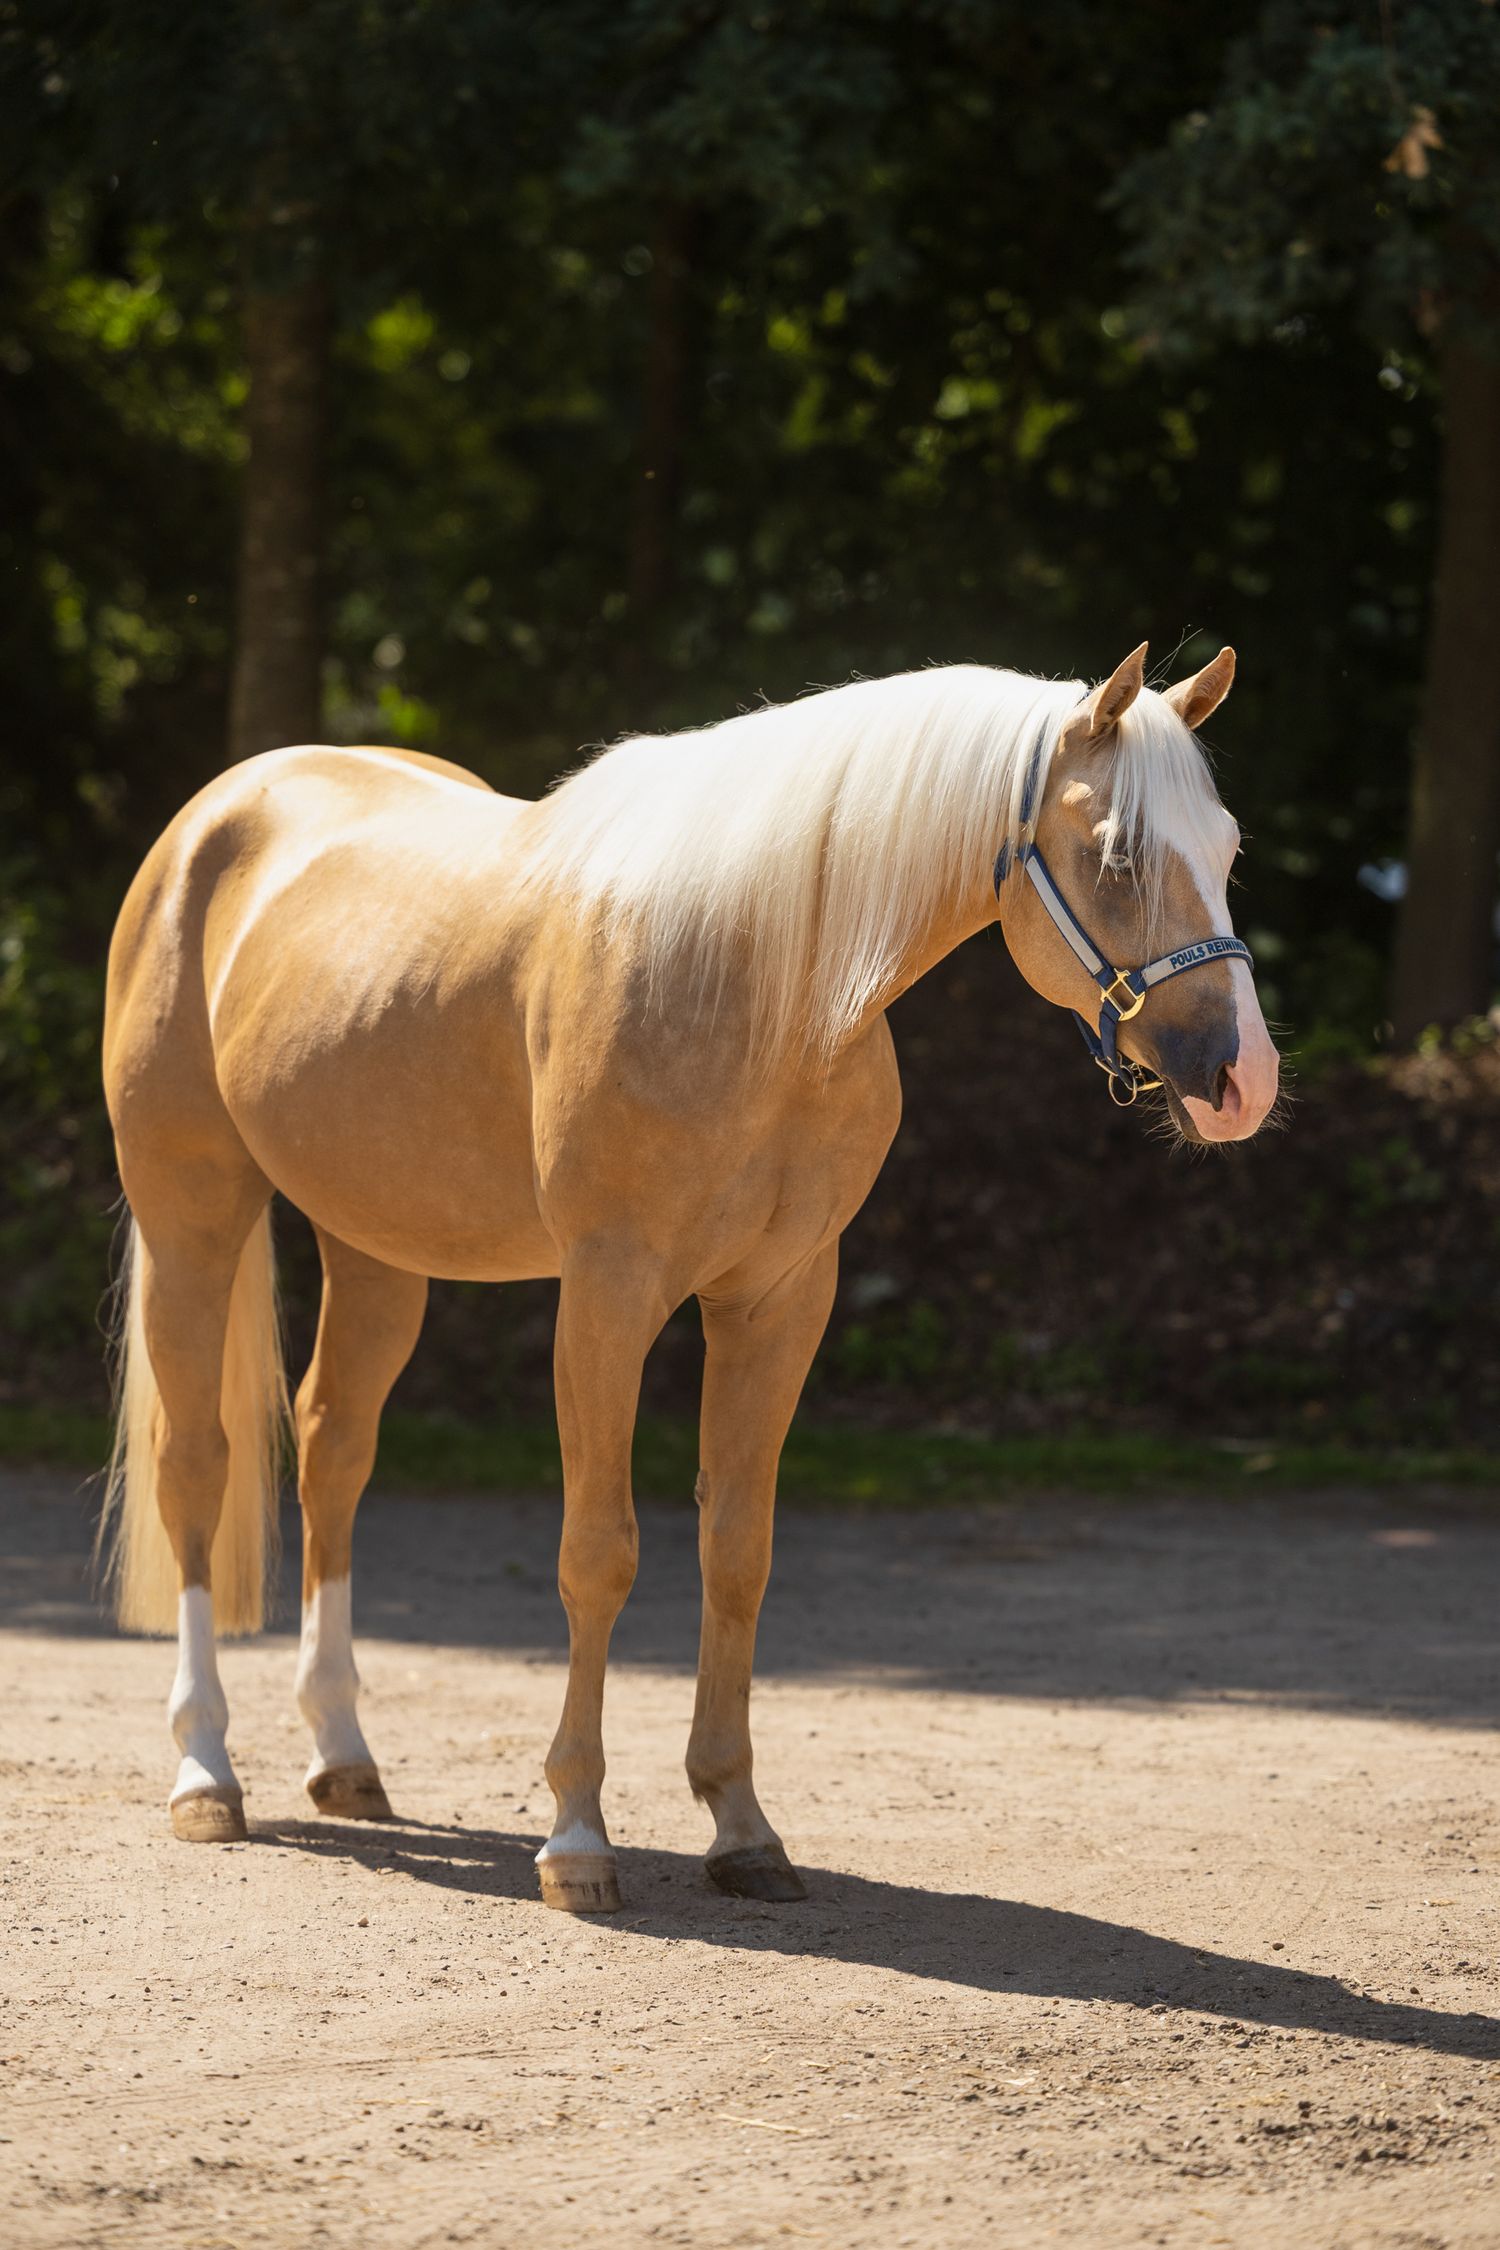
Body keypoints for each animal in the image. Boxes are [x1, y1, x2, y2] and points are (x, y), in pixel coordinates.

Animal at [99, 640, 1279, 1910]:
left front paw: (742, 1827)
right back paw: (206, 1776)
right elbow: (599, 1553)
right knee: (197, 1465)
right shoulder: (608, 1296)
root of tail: (218, 813)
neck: (762, 986)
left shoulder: (781, 1299)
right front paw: (577, 1838)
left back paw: (344, 1759)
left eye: (1228, 849)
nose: (1242, 1080)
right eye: (1115, 854)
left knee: (331, 1453)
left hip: (375, 1246)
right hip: (191, 1211)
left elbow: (737, 1552)